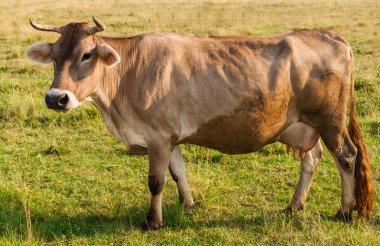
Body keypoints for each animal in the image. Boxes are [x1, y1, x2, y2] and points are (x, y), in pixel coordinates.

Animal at [26, 16, 374, 230]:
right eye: (54, 55)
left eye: (86, 54)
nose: (56, 98)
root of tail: (328, 33)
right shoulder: (169, 137)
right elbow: (178, 173)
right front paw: (188, 205)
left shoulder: (158, 136)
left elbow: (156, 181)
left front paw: (152, 222)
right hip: (302, 125)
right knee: (312, 159)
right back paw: (294, 205)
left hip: (330, 120)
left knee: (346, 157)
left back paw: (344, 211)